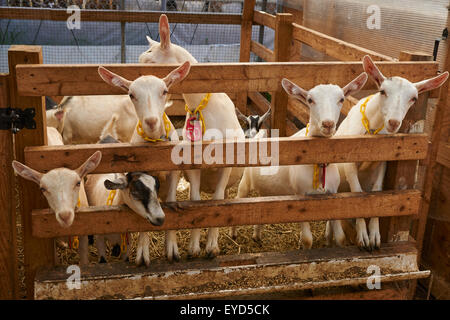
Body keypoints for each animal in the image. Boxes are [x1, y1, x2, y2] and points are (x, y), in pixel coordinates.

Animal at [96, 61, 190, 264]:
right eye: (131, 94)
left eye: (164, 91)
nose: (151, 121)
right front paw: (142, 252)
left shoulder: (174, 173)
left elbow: (171, 203)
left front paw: (172, 249)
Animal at [140, 15, 248, 260]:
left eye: (150, 63)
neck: (200, 106)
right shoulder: (193, 164)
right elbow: (197, 202)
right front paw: (194, 247)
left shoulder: (226, 162)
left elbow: (217, 202)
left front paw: (212, 247)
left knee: (228, 197)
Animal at [234, 74, 368, 249]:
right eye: (310, 100)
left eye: (341, 99)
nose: (328, 124)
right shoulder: (300, 196)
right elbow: (307, 239)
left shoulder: (332, 194)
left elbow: (340, 237)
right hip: (245, 182)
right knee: (238, 199)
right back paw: (233, 234)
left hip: (266, 190)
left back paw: (257, 236)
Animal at [328, 55, 448, 250]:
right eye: (382, 91)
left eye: (414, 98)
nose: (393, 122)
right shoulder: (349, 160)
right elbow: (357, 192)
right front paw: (363, 237)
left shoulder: (383, 161)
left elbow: (377, 192)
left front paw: (374, 236)